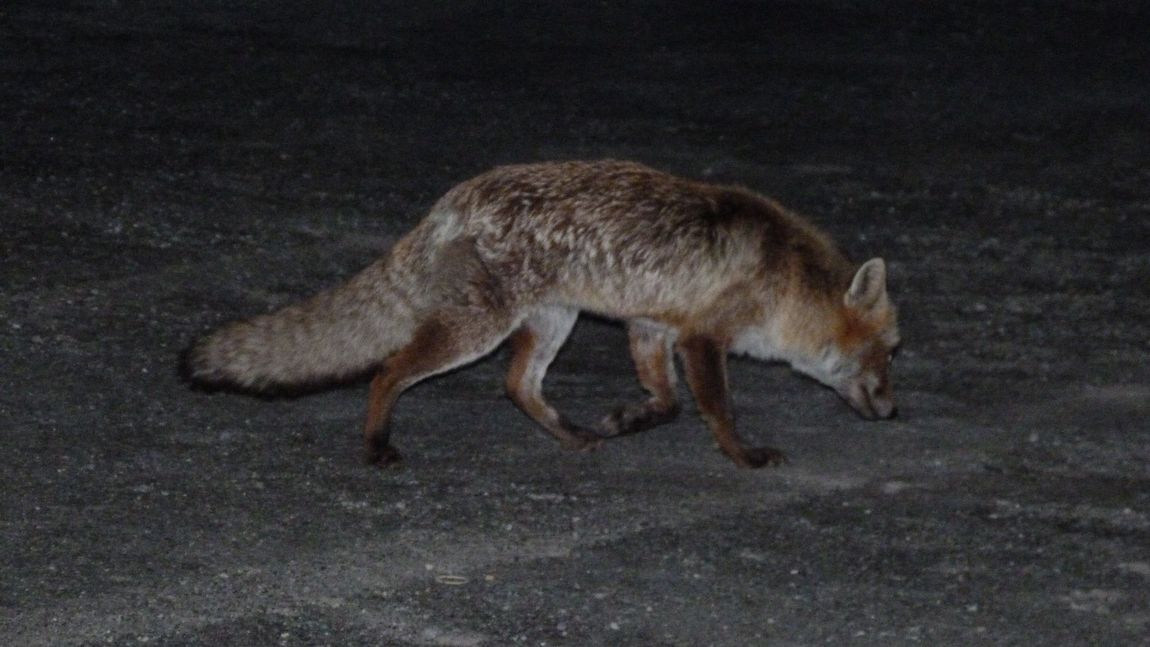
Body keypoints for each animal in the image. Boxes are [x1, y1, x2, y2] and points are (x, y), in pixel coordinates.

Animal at [185, 160, 900, 469]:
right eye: (890, 352)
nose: (895, 411)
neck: (784, 279)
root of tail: (454, 198)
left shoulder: (651, 326)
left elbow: (667, 404)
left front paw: (626, 420)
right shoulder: (701, 337)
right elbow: (716, 410)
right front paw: (743, 457)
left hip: (554, 320)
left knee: (516, 385)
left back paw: (571, 436)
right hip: (478, 328)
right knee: (389, 371)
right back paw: (377, 445)